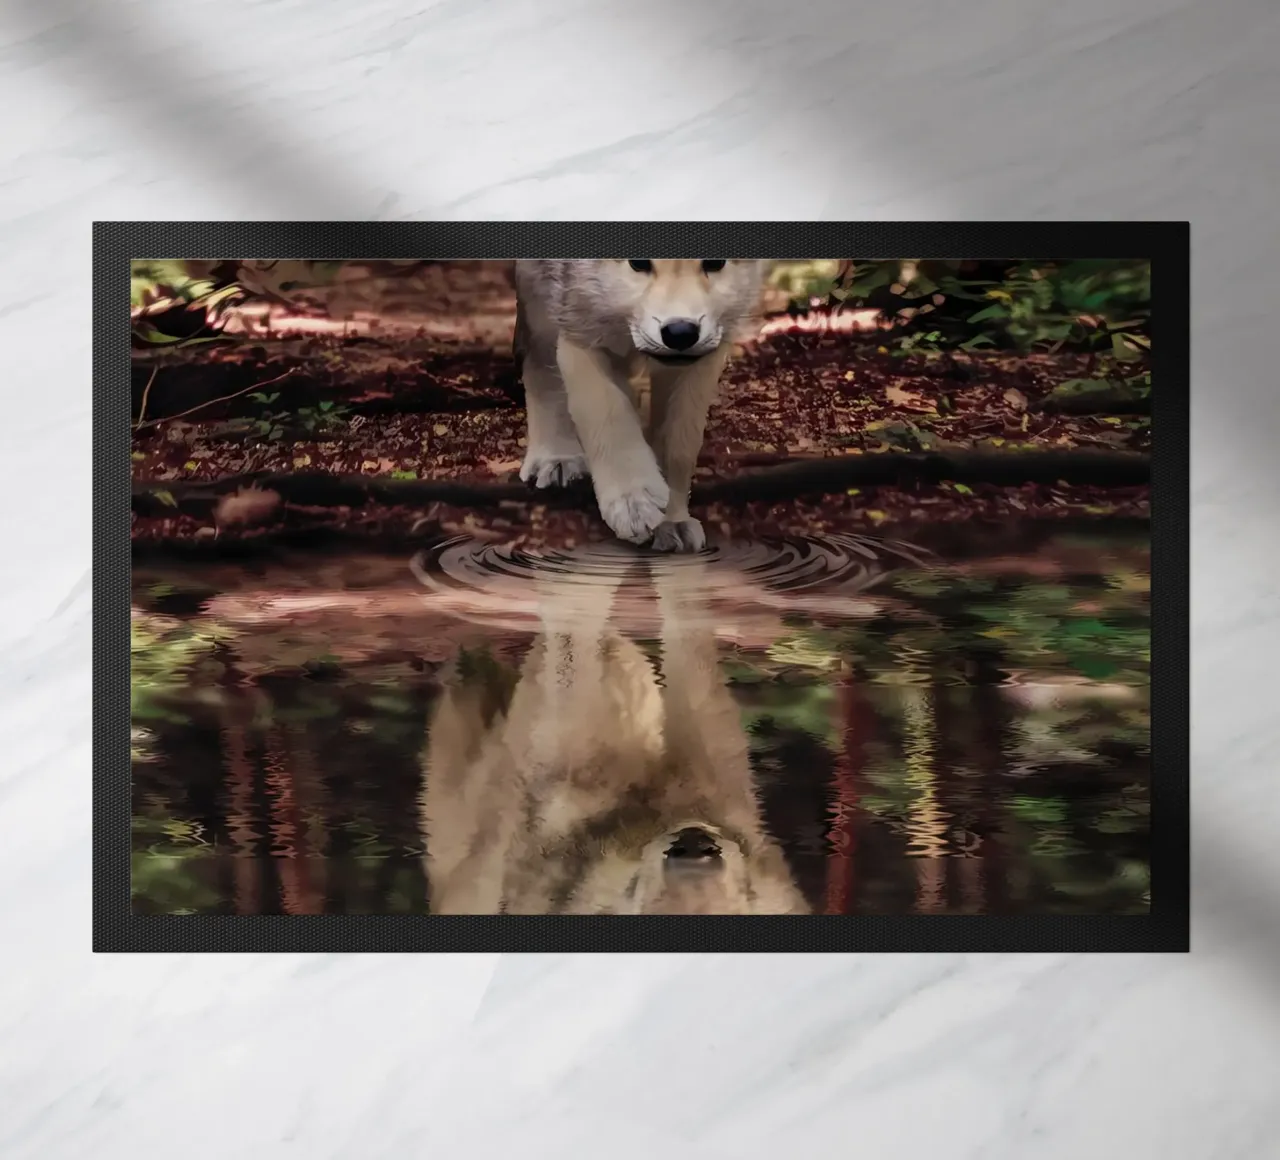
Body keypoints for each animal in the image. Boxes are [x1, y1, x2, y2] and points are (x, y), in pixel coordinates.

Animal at [513, 258, 766, 552]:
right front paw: (632, 502)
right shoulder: (580, 330)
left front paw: (672, 520)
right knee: (539, 361)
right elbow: (610, 416)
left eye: (715, 263)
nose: (680, 333)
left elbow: (678, 447)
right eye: (638, 263)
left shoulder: (700, 360)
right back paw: (555, 457)